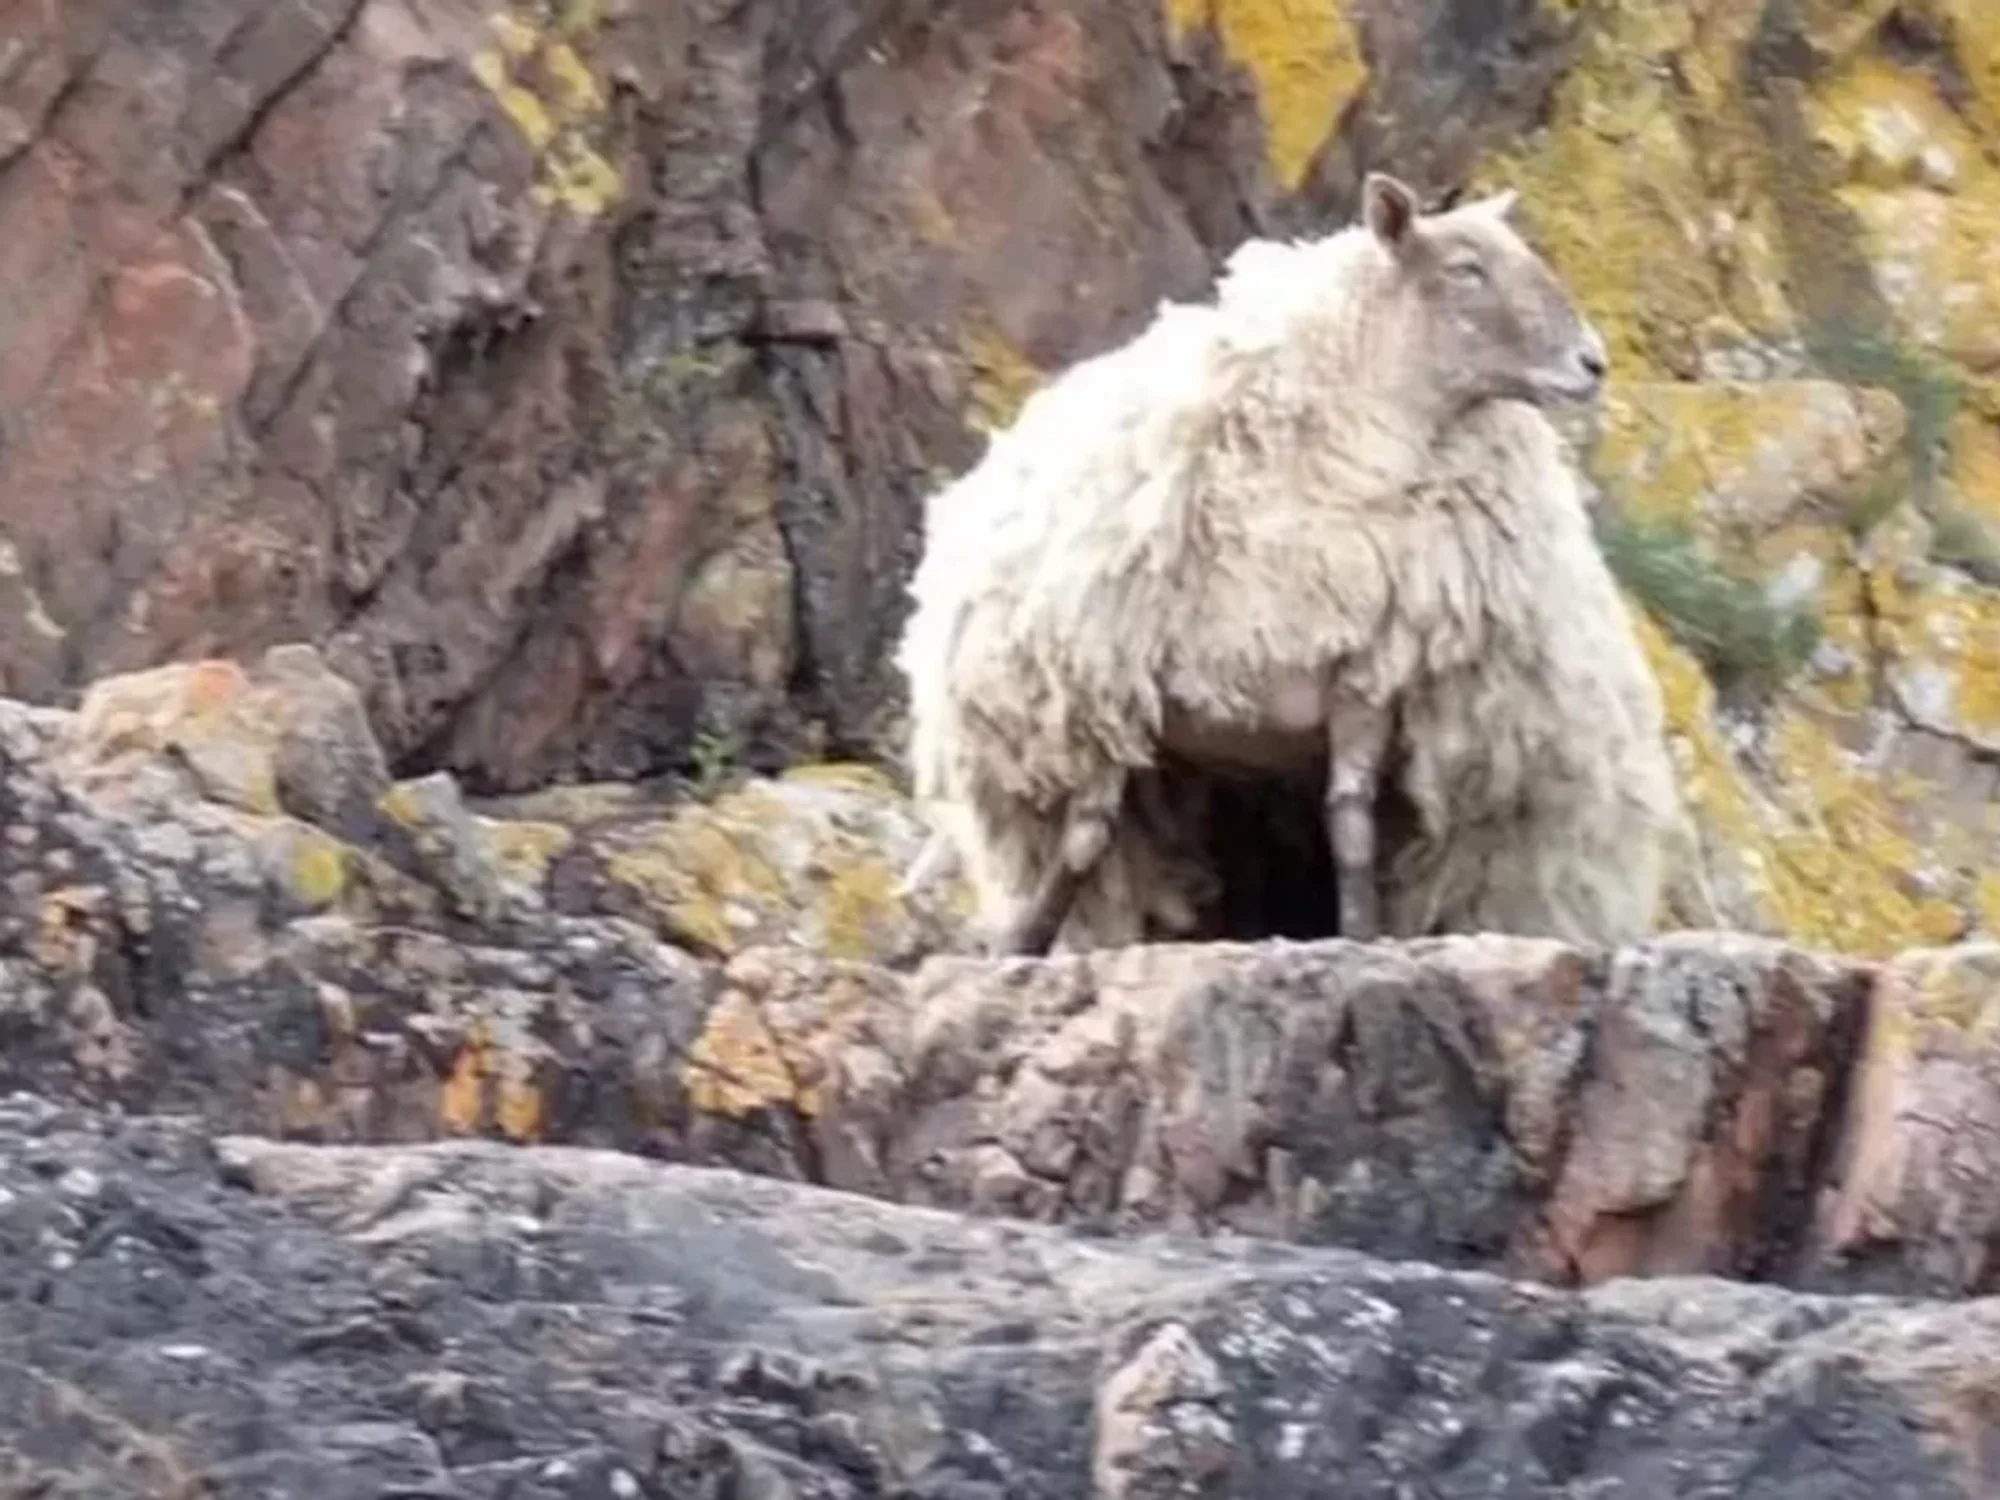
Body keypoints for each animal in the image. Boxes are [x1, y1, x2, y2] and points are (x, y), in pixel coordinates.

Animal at [895, 170, 1702, 957]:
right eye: (1467, 269)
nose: (1593, 363)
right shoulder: (1112, 686)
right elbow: (1087, 837)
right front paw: (1022, 946)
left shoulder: (1368, 676)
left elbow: (1348, 820)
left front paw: (1361, 937)